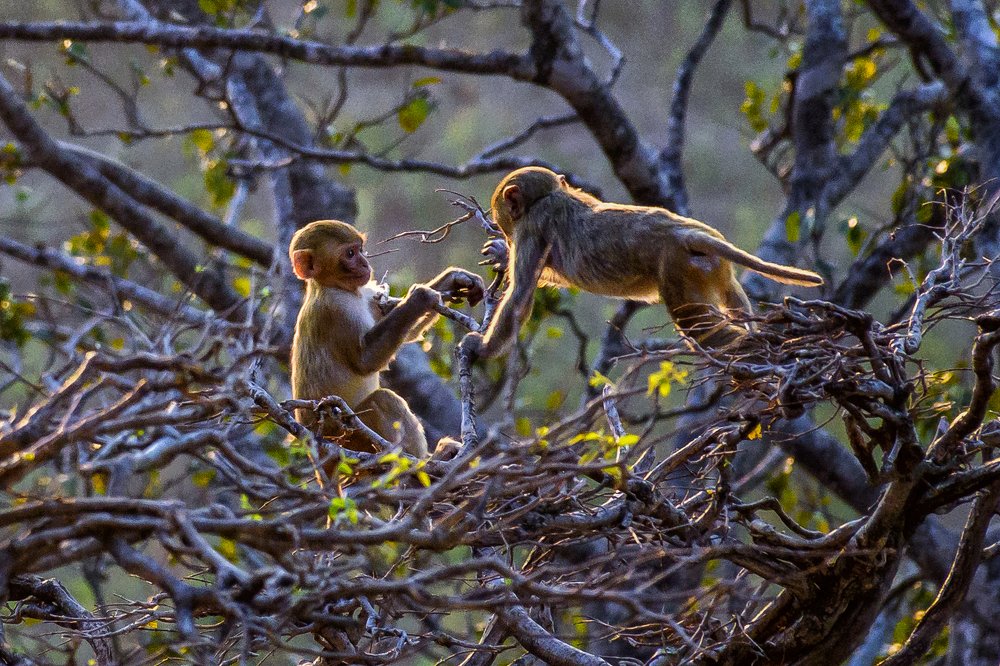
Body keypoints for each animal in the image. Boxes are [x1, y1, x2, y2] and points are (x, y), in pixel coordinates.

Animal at [289, 219, 484, 458]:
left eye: (360, 249)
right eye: (350, 253)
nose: (365, 264)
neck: (335, 287)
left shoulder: (366, 293)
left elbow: (407, 334)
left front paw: (453, 279)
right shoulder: (335, 310)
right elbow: (366, 362)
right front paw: (419, 298)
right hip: (348, 436)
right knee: (382, 399)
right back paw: (426, 462)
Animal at [464, 166, 823, 358]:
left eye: (506, 219)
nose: (504, 232)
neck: (550, 195)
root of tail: (686, 233)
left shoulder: (531, 227)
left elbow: (520, 296)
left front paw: (482, 349)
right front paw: (500, 254)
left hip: (678, 268)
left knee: (697, 327)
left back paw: (752, 345)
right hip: (713, 267)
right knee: (733, 301)